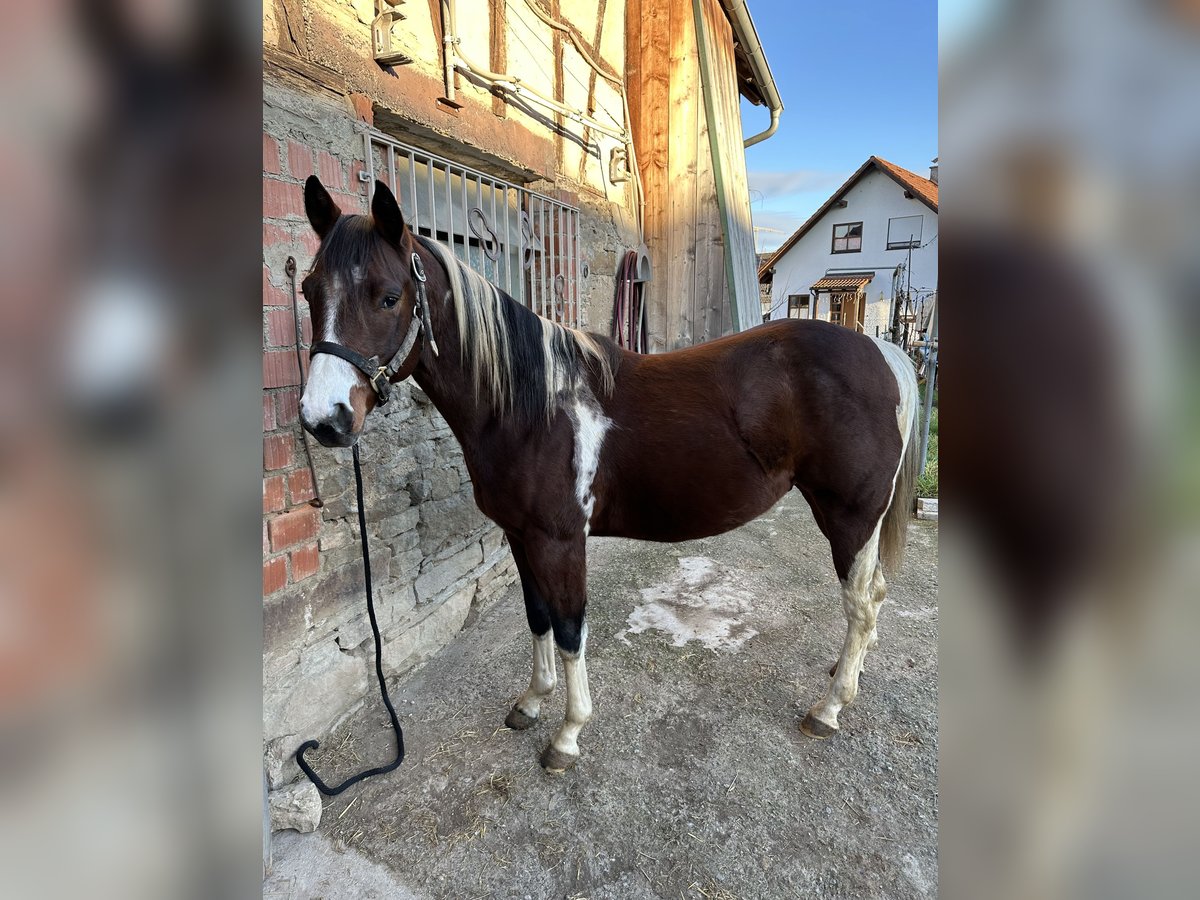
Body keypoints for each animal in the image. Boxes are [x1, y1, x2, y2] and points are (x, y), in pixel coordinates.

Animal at [297, 176, 916, 777]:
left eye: (389, 296)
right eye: (308, 290)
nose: (324, 419)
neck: (532, 406)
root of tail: (883, 352)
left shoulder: (561, 540)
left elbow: (571, 629)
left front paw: (568, 735)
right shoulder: (520, 536)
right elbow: (538, 618)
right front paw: (532, 701)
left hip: (851, 517)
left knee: (861, 604)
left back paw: (829, 707)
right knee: (876, 598)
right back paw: (844, 676)